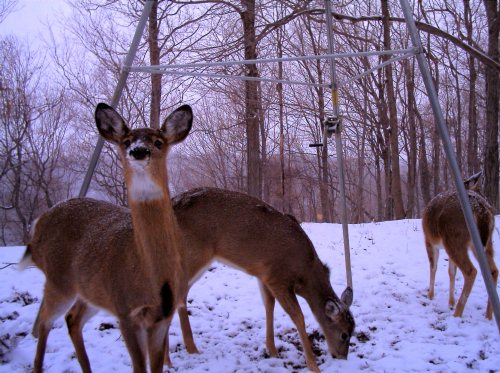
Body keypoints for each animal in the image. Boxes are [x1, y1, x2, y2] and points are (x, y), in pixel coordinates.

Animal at [18, 102, 192, 372]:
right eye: (126, 141)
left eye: (158, 141)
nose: (138, 151)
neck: (148, 273)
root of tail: (38, 224)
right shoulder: (125, 311)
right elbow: (139, 366)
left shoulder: (163, 315)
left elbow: (155, 366)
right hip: (58, 280)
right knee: (45, 320)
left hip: (90, 291)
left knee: (72, 318)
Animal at [22, 186, 352, 372]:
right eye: (345, 335)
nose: (342, 357)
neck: (306, 270)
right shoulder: (277, 275)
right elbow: (298, 317)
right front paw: (312, 365)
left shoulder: (264, 275)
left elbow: (268, 308)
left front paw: (271, 349)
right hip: (192, 257)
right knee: (176, 298)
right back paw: (173, 356)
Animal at [424, 172, 498, 320]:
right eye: (483, 193)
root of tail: (481, 209)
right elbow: (451, 272)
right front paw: (450, 302)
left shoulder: (429, 240)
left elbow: (433, 267)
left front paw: (430, 295)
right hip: (484, 242)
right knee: (493, 270)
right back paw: (488, 315)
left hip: (454, 238)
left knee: (471, 271)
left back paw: (457, 314)